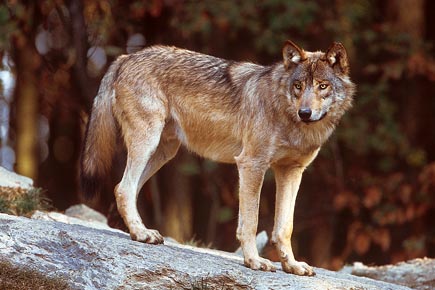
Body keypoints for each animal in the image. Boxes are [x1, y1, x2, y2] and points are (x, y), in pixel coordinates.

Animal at [80, 39, 356, 276]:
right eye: (298, 86)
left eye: (322, 85)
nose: (305, 112)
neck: (289, 118)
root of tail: (125, 57)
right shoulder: (251, 165)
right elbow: (250, 222)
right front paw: (254, 261)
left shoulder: (291, 171)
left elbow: (284, 227)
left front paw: (293, 266)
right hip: (147, 142)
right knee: (123, 188)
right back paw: (141, 233)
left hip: (163, 152)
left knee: (125, 189)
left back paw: (138, 231)